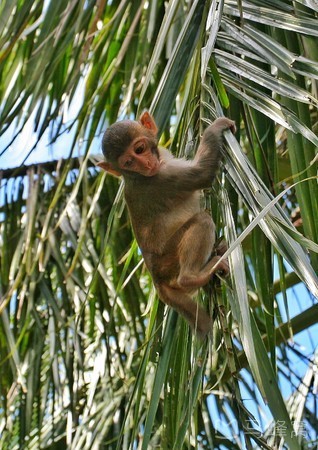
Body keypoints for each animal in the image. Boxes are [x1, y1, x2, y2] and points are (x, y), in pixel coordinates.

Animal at [99, 112, 236, 338]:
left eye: (139, 149)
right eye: (129, 162)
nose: (146, 164)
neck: (134, 176)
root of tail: (157, 281)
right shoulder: (164, 177)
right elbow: (203, 174)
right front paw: (216, 127)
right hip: (169, 262)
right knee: (202, 221)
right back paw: (191, 277)